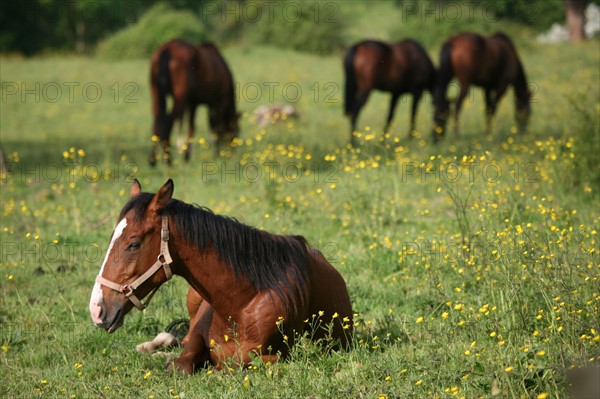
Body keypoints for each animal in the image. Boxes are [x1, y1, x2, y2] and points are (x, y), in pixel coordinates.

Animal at [89, 180, 352, 374]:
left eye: (133, 244)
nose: (96, 309)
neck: (243, 303)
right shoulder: (196, 337)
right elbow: (182, 362)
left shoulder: (273, 358)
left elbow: (228, 366)